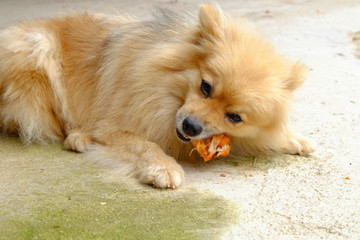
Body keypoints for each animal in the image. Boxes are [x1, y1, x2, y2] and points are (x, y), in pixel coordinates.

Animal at [0, 3, 314, 188]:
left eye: (234, 117)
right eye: (206, 87)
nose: (191, 126)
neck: (163, 92)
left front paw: (291, 139)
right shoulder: (115, 128)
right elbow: (146, 145)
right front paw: (163, 167)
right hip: (38, 49)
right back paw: (79, 137)